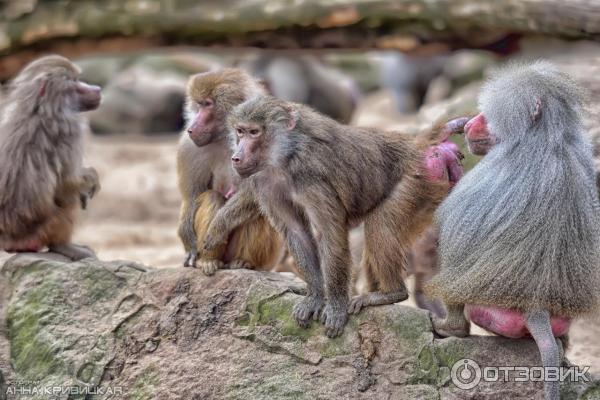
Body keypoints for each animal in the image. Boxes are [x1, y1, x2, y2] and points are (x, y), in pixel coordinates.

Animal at [0, 55, 101, 260]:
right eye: (74, 81)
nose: (97, 89)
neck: (39, 109)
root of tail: (9, 240)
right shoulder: (73, 130)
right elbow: (68, 182)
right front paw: (92, 178)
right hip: (45, 227)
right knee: (68, 197)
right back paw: (63, 246)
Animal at [177, 69, 282, 276]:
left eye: (208, 104)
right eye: (199, 104)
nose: (191, 128)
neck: (226, 136)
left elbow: (255, 193)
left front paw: (219, 227)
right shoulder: (190, 148)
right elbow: (192, 196)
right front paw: (190, 247)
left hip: (267, 259)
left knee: (258, 209)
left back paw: (243, 262)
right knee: (212, 198)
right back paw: (208, 261)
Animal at [426, 60, 600, 400]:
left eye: (487, 116)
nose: (469, 123)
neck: (548, 136)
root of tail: (536, 306)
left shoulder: (491, 168)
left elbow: (452, 226)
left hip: (486, 303)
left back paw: (450, 327)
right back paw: (563, 351)